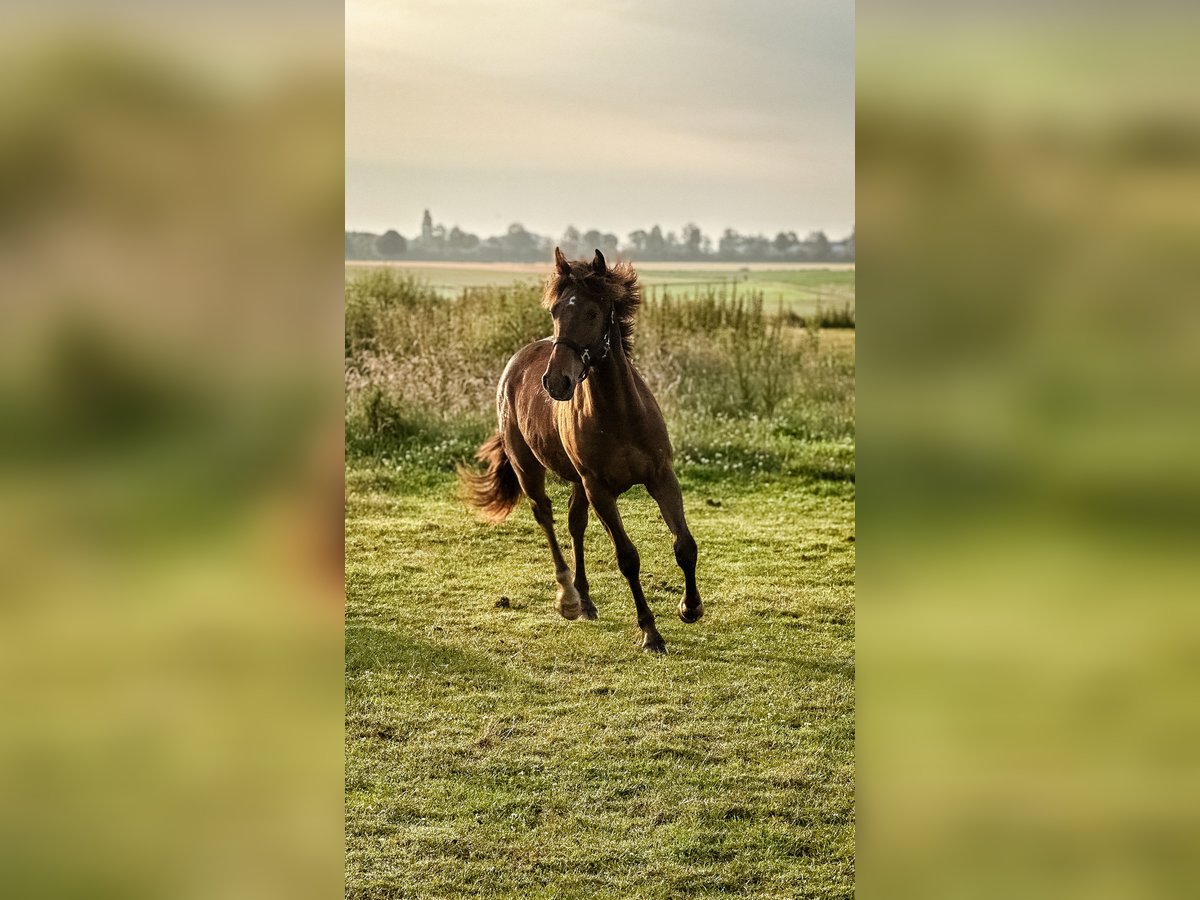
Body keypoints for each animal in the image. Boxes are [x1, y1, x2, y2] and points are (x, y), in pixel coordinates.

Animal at [458, 248, 700, 657]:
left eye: (591, 312)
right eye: (556, 311)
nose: (557, 382)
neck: (619, 413)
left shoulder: (661, 476)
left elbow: (684, 544)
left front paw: (691, 607)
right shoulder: (599, 489)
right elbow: (627, 558)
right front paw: (650, 633)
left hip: (577, 483)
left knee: (575, 523)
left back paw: (585, 601)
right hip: (530, 470)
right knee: (546, 517)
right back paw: (569, 599)